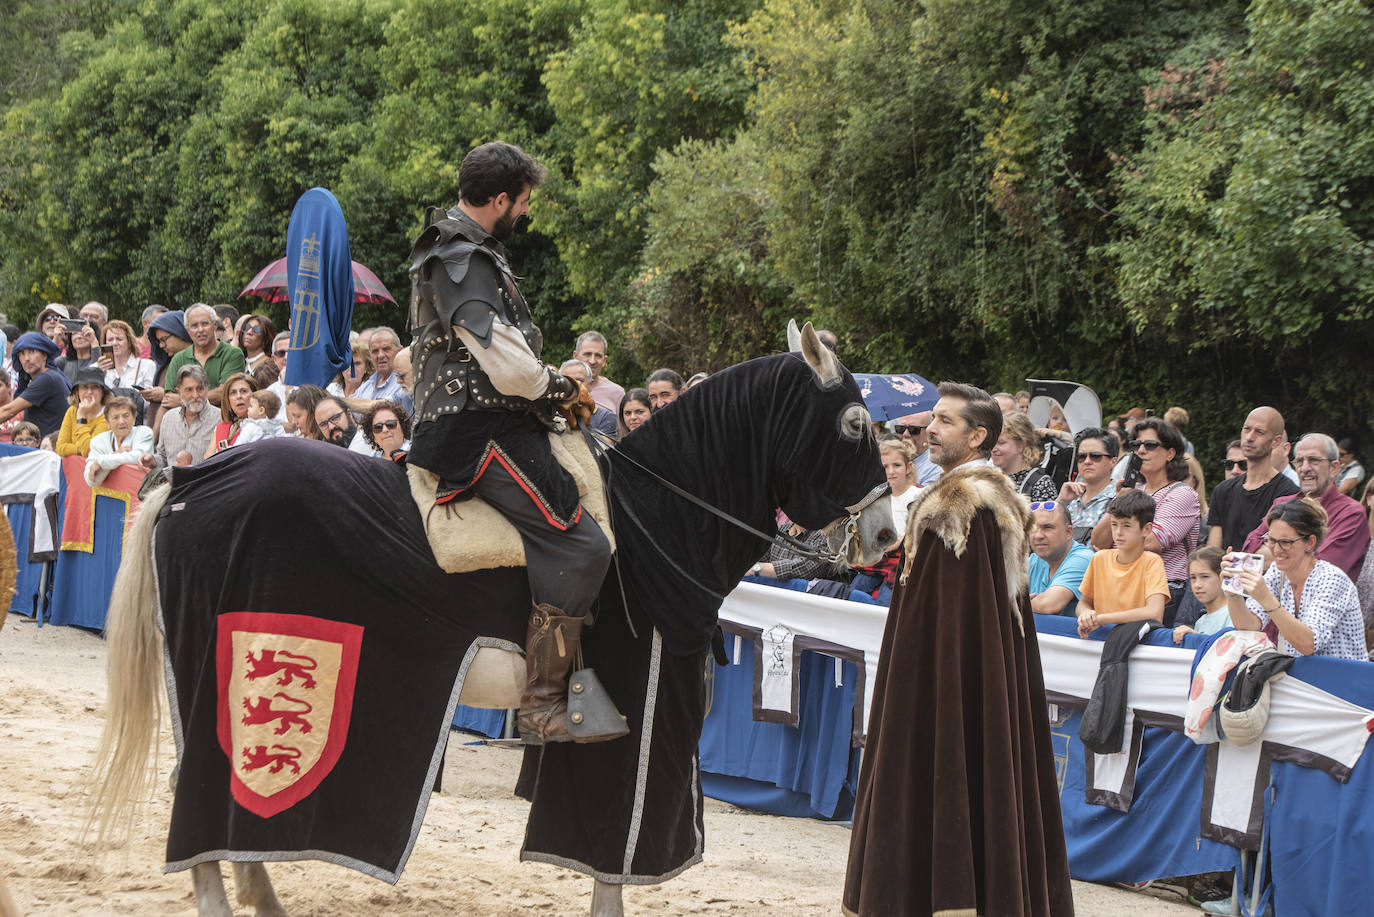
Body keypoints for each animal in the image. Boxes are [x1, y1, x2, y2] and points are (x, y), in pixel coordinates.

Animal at [94, 323, 890, 917]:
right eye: (854, 423)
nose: (884, 538)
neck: (660, 515)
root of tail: (189, 480)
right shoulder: (644, 699)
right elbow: (617, 844)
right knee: (198, 790)